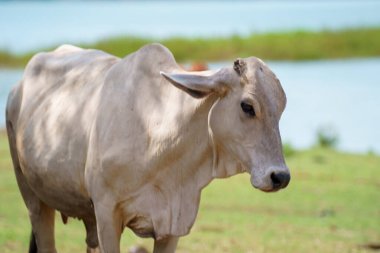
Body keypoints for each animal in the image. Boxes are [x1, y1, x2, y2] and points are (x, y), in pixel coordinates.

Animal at [5, 43, 290, 253]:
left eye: (281, 108)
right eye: (247, 106)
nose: (280, 176)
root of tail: (17, 88)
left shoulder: (173, 226)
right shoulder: (107, 216)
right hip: (33, 198)